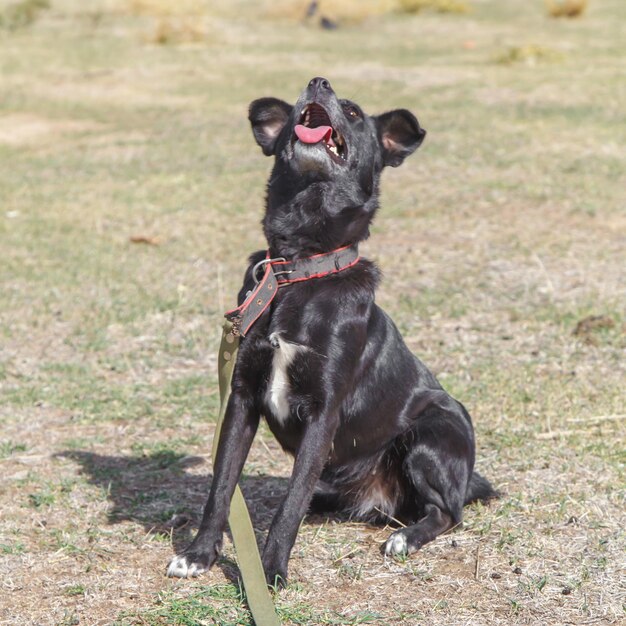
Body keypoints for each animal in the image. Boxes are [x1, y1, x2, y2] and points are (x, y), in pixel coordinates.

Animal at [167, 78, 498, 584]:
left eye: (354, 112)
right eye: (295, 105)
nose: (318, 82)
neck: (299, 270)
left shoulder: (322, 414)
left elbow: (287, 507)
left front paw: (269, 572)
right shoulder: (241, 398)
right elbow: (222, 486)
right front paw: (200, 553)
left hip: (431, 432)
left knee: (447, 511)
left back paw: (406, 538)